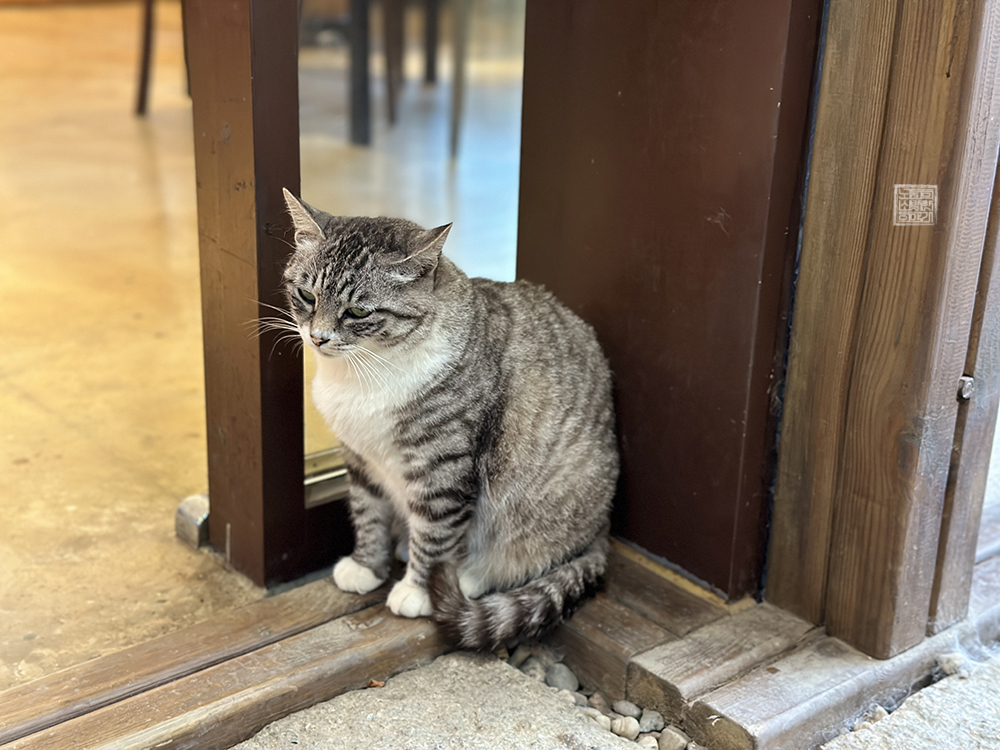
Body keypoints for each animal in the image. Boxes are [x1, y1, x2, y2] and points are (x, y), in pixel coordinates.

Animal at [281, 188, 619, 649]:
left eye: (358, 312)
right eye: (306, 296)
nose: (317, 337)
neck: (364, 375)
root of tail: (602, 529)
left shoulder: (441, 470)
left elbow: (436, 533)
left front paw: (417, 590)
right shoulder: (360, 458)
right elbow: (368, 514)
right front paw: (366, 565)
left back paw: (470, 577)